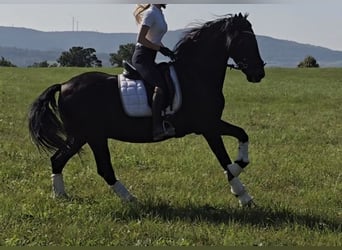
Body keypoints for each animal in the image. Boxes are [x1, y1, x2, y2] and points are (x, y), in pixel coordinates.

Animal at [28, 12, 264, 206]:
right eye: (246, 39)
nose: (259, 73)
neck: (196, 74)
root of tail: (64, 85)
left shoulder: (211, 123)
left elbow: (243, 134)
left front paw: (240, 168)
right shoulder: (208, 126)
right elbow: (224, 159)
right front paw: (241, 192)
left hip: (83, 136)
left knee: (60, 160)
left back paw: (61, 196)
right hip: (90, 135)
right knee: (98, 167)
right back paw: (130, 199)